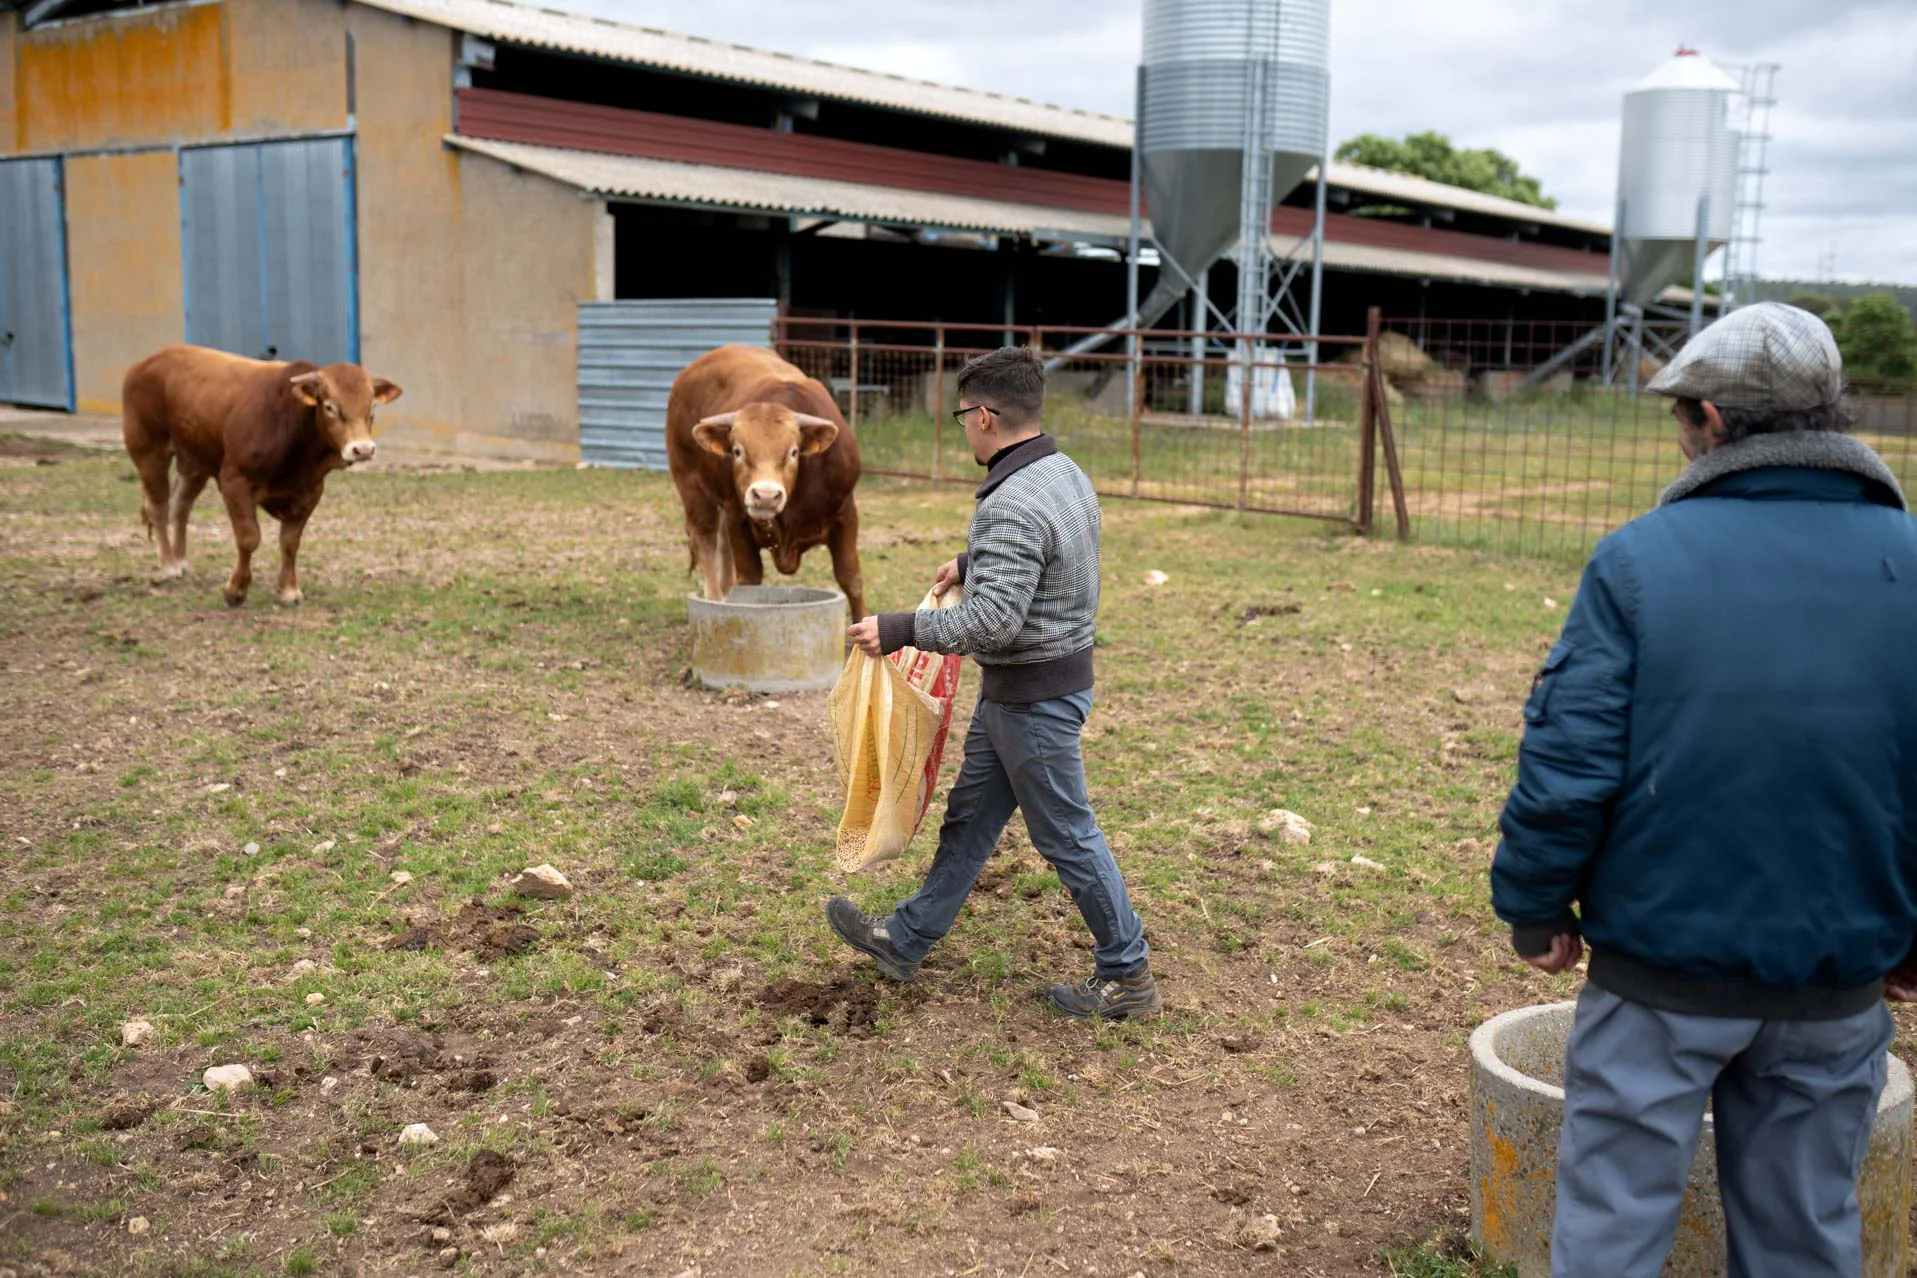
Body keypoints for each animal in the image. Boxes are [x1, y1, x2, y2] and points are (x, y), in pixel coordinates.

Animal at [120, 346, 404, 609]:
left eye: (372, 406)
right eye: (329, 407)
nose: (363, 449)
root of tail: (149, 361)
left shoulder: (310, 491)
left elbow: (290, 542)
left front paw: (289, 590)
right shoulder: (234, 482)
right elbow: (249, 538)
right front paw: (236, 590)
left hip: (194, 461)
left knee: (181, 505)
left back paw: (180, 560)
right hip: (149, 451)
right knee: (158, 506)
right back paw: (168, 565)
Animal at [663, 344, 866, 613]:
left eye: (793, 452)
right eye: (737, 451)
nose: (766, 496)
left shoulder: (846, 514)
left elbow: (850, 579)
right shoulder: (737, 519)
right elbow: (749, 581)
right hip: (691, 486)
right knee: (705, 536)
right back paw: (715, 598)